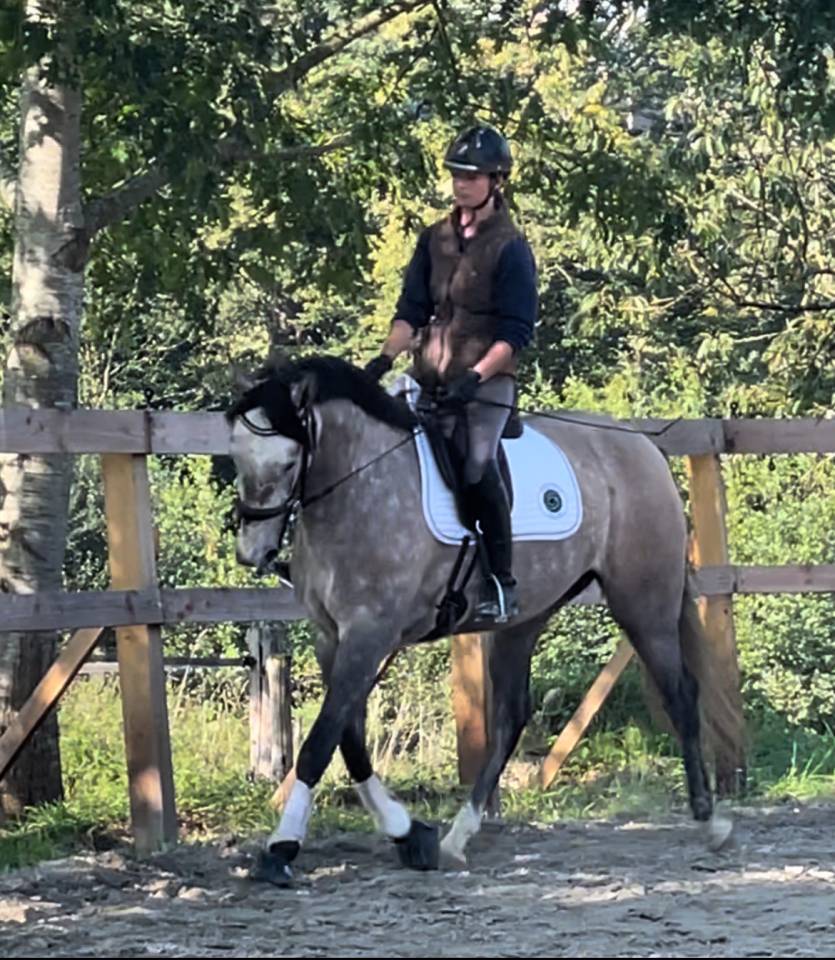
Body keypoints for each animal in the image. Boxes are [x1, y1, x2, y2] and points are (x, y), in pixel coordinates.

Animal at [227, 355, 735, 886]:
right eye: (236, 455)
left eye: (288, 463)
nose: (251, 552)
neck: (360, 487)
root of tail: (641, 446)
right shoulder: (331, 636)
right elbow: (348, 739)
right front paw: (408, 833)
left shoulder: (370, 635)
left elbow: (322, 740)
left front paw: (282, 848)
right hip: (525, 620)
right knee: (512, 715)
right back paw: (457, 837)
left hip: (643, 602)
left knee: (681, 694)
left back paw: (711, 821)